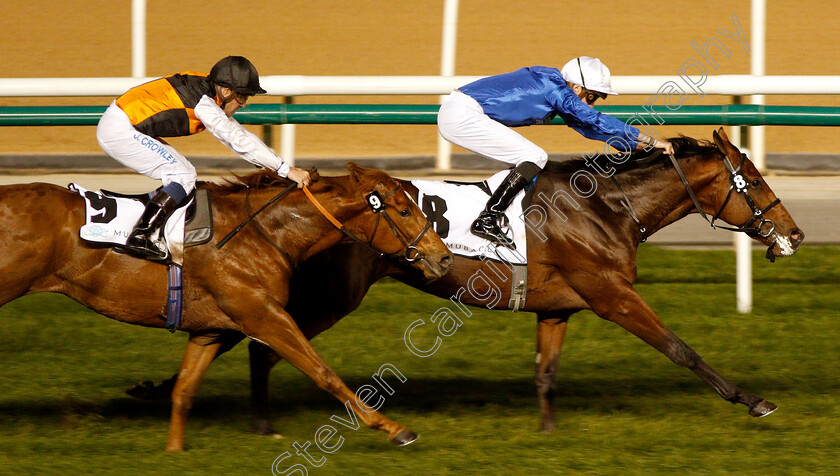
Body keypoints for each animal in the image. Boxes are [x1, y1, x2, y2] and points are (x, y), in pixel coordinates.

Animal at [0, 164, 452, 450]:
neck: (264, 233)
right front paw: (394, 428)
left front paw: (174, 451)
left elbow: (184, 390)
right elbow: (323, 372)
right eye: (404, 210)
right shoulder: (263, 315)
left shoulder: (212, 328)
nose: (443, 258)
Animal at [135, 128, 804, 436]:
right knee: (264, 343)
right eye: (754, 181)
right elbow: (680, 348)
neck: (605, 207)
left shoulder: (558, 308)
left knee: (254, 338)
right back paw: (257, 421)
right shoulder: (612, 295)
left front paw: (548, 432)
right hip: (335, 294)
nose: (794, 234)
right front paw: (754, 400)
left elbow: (546, 372)